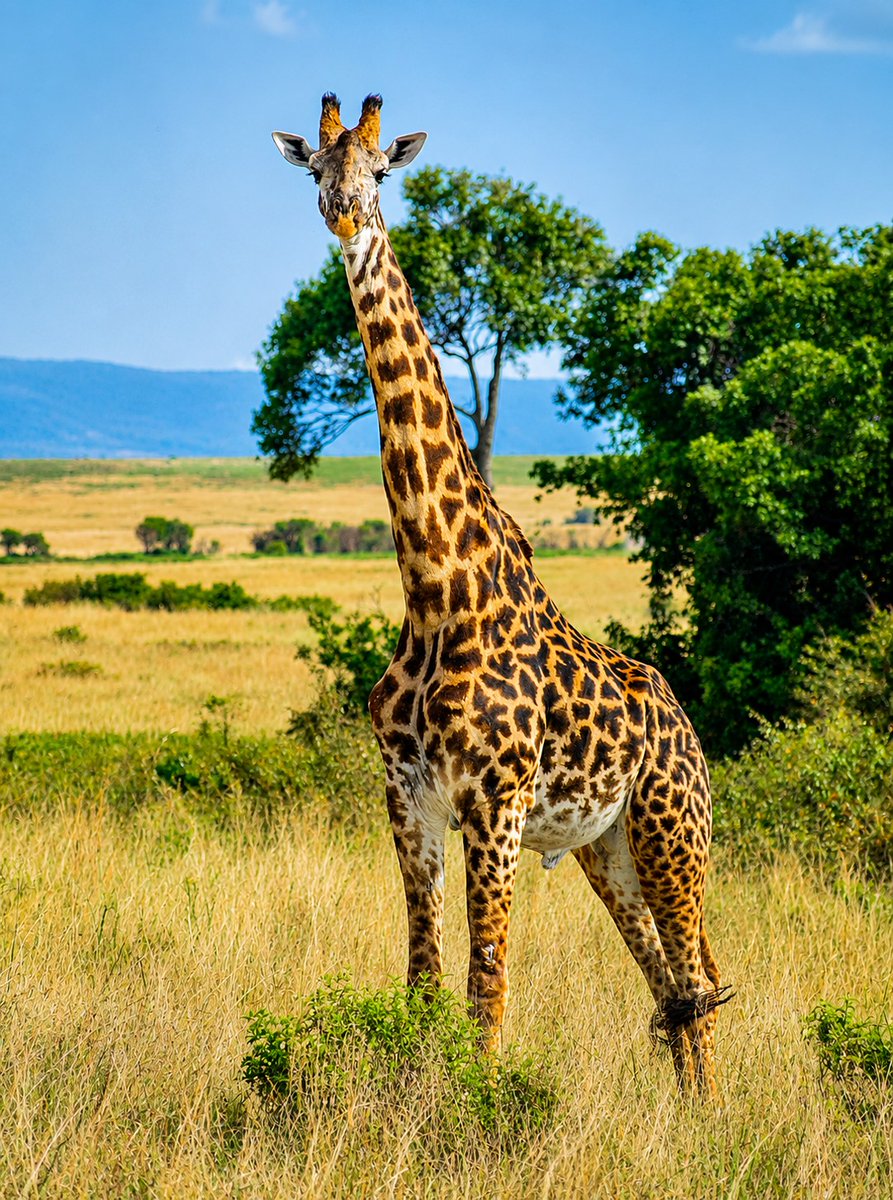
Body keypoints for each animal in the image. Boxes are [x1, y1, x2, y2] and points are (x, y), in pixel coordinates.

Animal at [272, 93, 730, 1095]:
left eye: (381, 171)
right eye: (314, 169)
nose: (345, 216)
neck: (436, 586)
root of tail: (686, 726)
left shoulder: (497, 802)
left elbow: (487, 986)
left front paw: (477, 1110)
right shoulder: (408, 796)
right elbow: (423, 979)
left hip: (672, 829)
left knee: (702, 974)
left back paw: (720, 1122)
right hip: (607, 846)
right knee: (675, 986)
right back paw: (691, 1117)